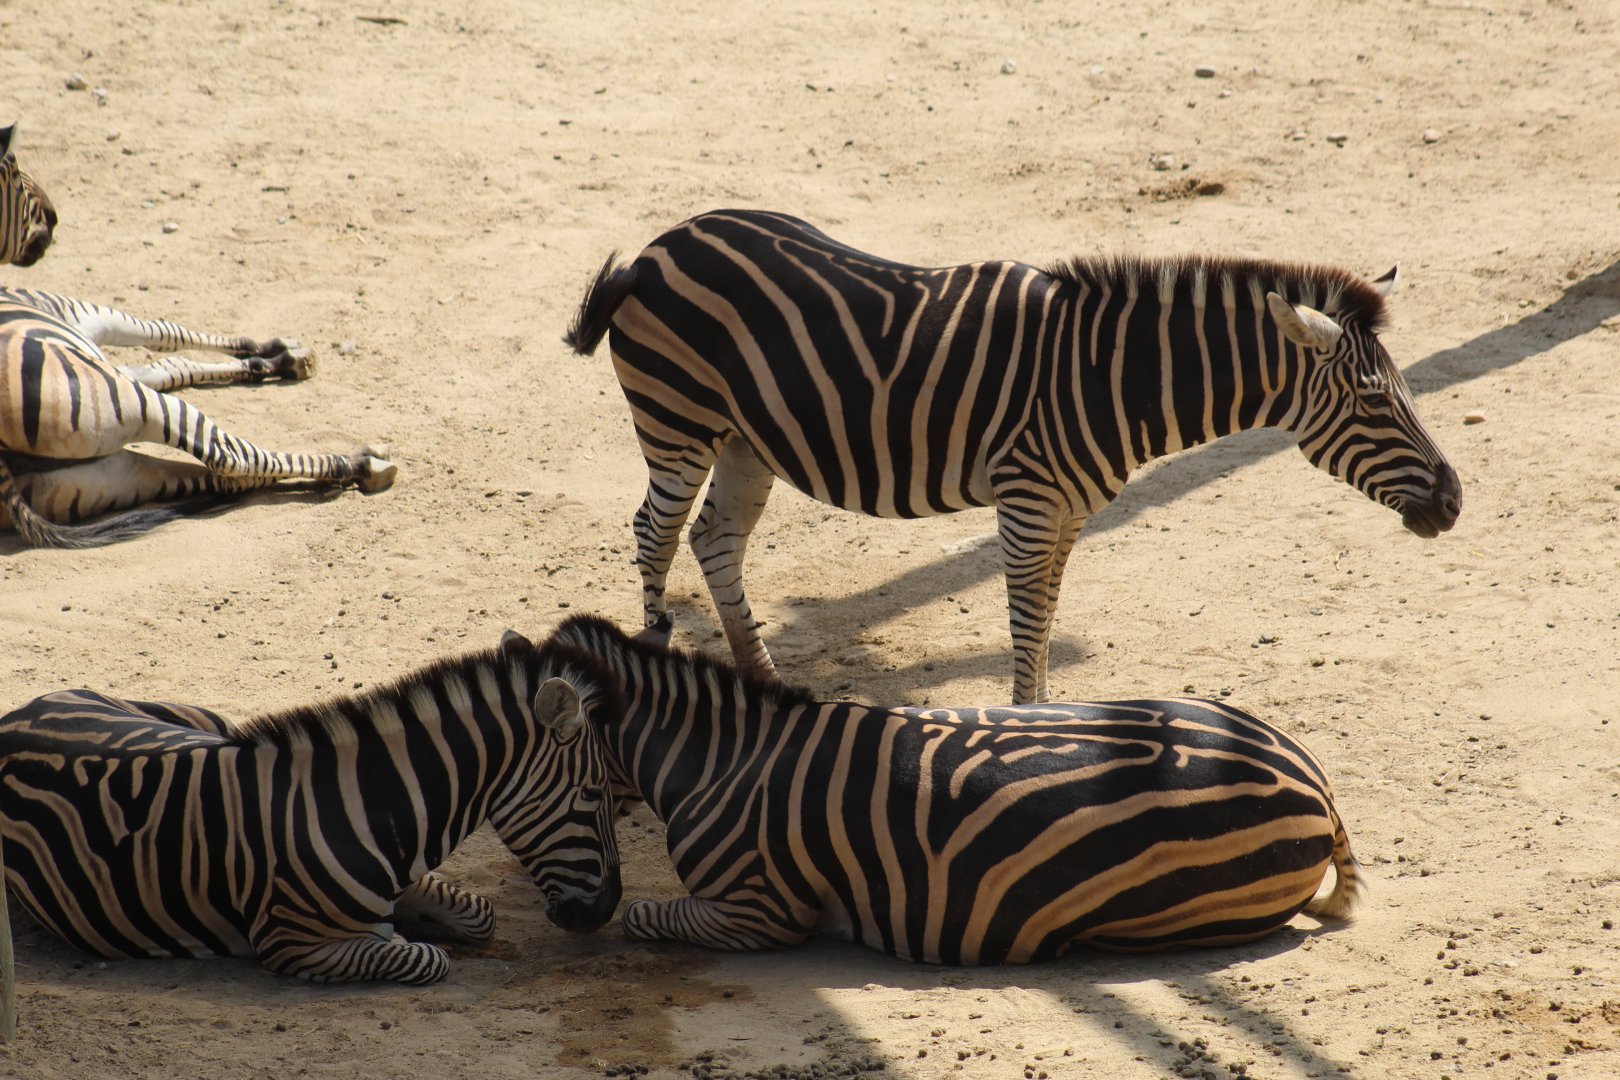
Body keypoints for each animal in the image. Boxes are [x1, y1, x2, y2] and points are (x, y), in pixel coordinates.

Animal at [0, 286, 397, 548]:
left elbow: (168, 359)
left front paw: (272, 360)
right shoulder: (73, 311)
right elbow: (168, 336)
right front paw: (277, 353)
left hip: (90, 481)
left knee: (222, 477)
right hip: (117, 395)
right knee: (232, 457)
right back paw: (362, 464)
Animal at [0, 631, 623, 984]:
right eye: (595, 795)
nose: (607, 910)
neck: (369, 811)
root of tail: (21, 711)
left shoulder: (410, 879)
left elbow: (478, 912)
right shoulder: (291, 944)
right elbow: (422, 957)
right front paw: (411, 938)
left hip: (202, 722)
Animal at [546, 612, 1361, 963]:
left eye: (574, 790)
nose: (573, 917)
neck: (721, 760)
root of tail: (1317, 787)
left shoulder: (761, 912)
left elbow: (648, 916)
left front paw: (626, 918)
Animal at [564, 209, 1462, 704]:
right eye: (1375, 402)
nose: (1454, 502)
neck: (1109, 375)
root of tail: (660, 244)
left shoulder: (1067, 514)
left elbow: (1050, 615)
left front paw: (1049, 707)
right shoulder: (1028, 503)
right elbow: (1029, 621)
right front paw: (1029, 722)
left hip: (748, 439)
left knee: (714, 538)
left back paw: (766, 679)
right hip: (677, 421)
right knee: (654, 530)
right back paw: (652, 650)